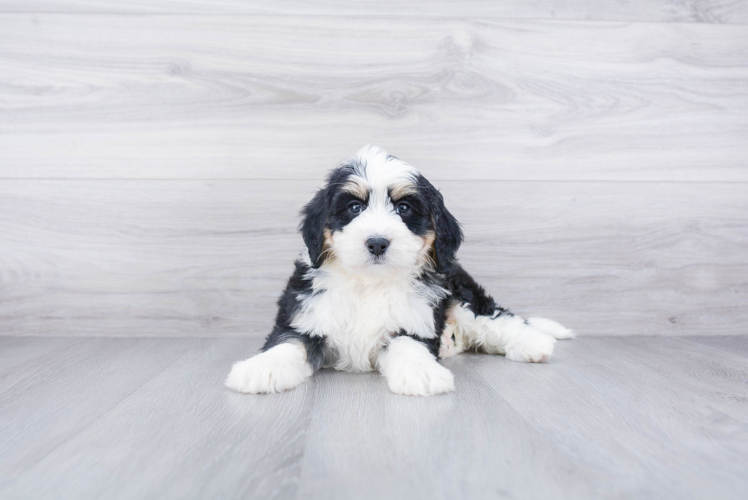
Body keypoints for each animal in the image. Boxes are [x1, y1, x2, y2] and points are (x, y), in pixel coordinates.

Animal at [222, 146, 572, 396]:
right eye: (354, 207)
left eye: (404, 208)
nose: (377, 242)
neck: (368, 284)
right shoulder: (305, 315)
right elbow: (288, 343)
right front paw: (260, 369)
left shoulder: (415, 321)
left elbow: (408, 345)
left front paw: (422, 373)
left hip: (460, 291)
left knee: (495, 318)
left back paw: (534, 343)